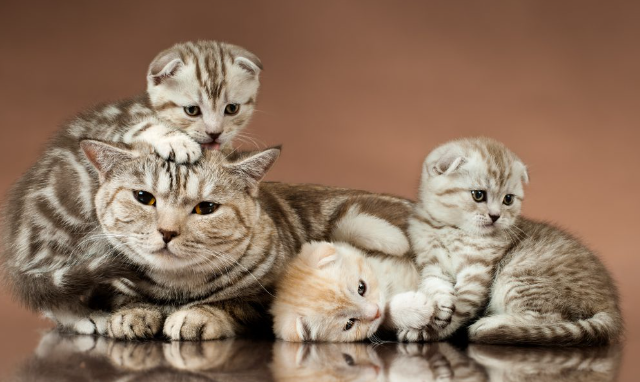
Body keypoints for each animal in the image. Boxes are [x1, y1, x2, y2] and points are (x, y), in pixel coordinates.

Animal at [2, 141, 412, 340]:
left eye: (206, 208)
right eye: (144, 198)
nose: (167, 232)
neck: (176, 287)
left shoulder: (264, 299)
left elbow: (231, 303)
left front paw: (196, 316)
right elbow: (121, 298)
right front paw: (133, 313)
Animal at [408, 137, 624, 346]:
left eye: (508, 199)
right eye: (478, 195)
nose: (495, 216)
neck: (451, 230)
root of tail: (610, 306)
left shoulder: (477, 273)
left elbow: (463, 305)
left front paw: (428, 331)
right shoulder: (433, 264)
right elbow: (435, 285)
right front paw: (438, 308)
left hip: (518, 276)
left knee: (550, 318)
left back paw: (492, 323)